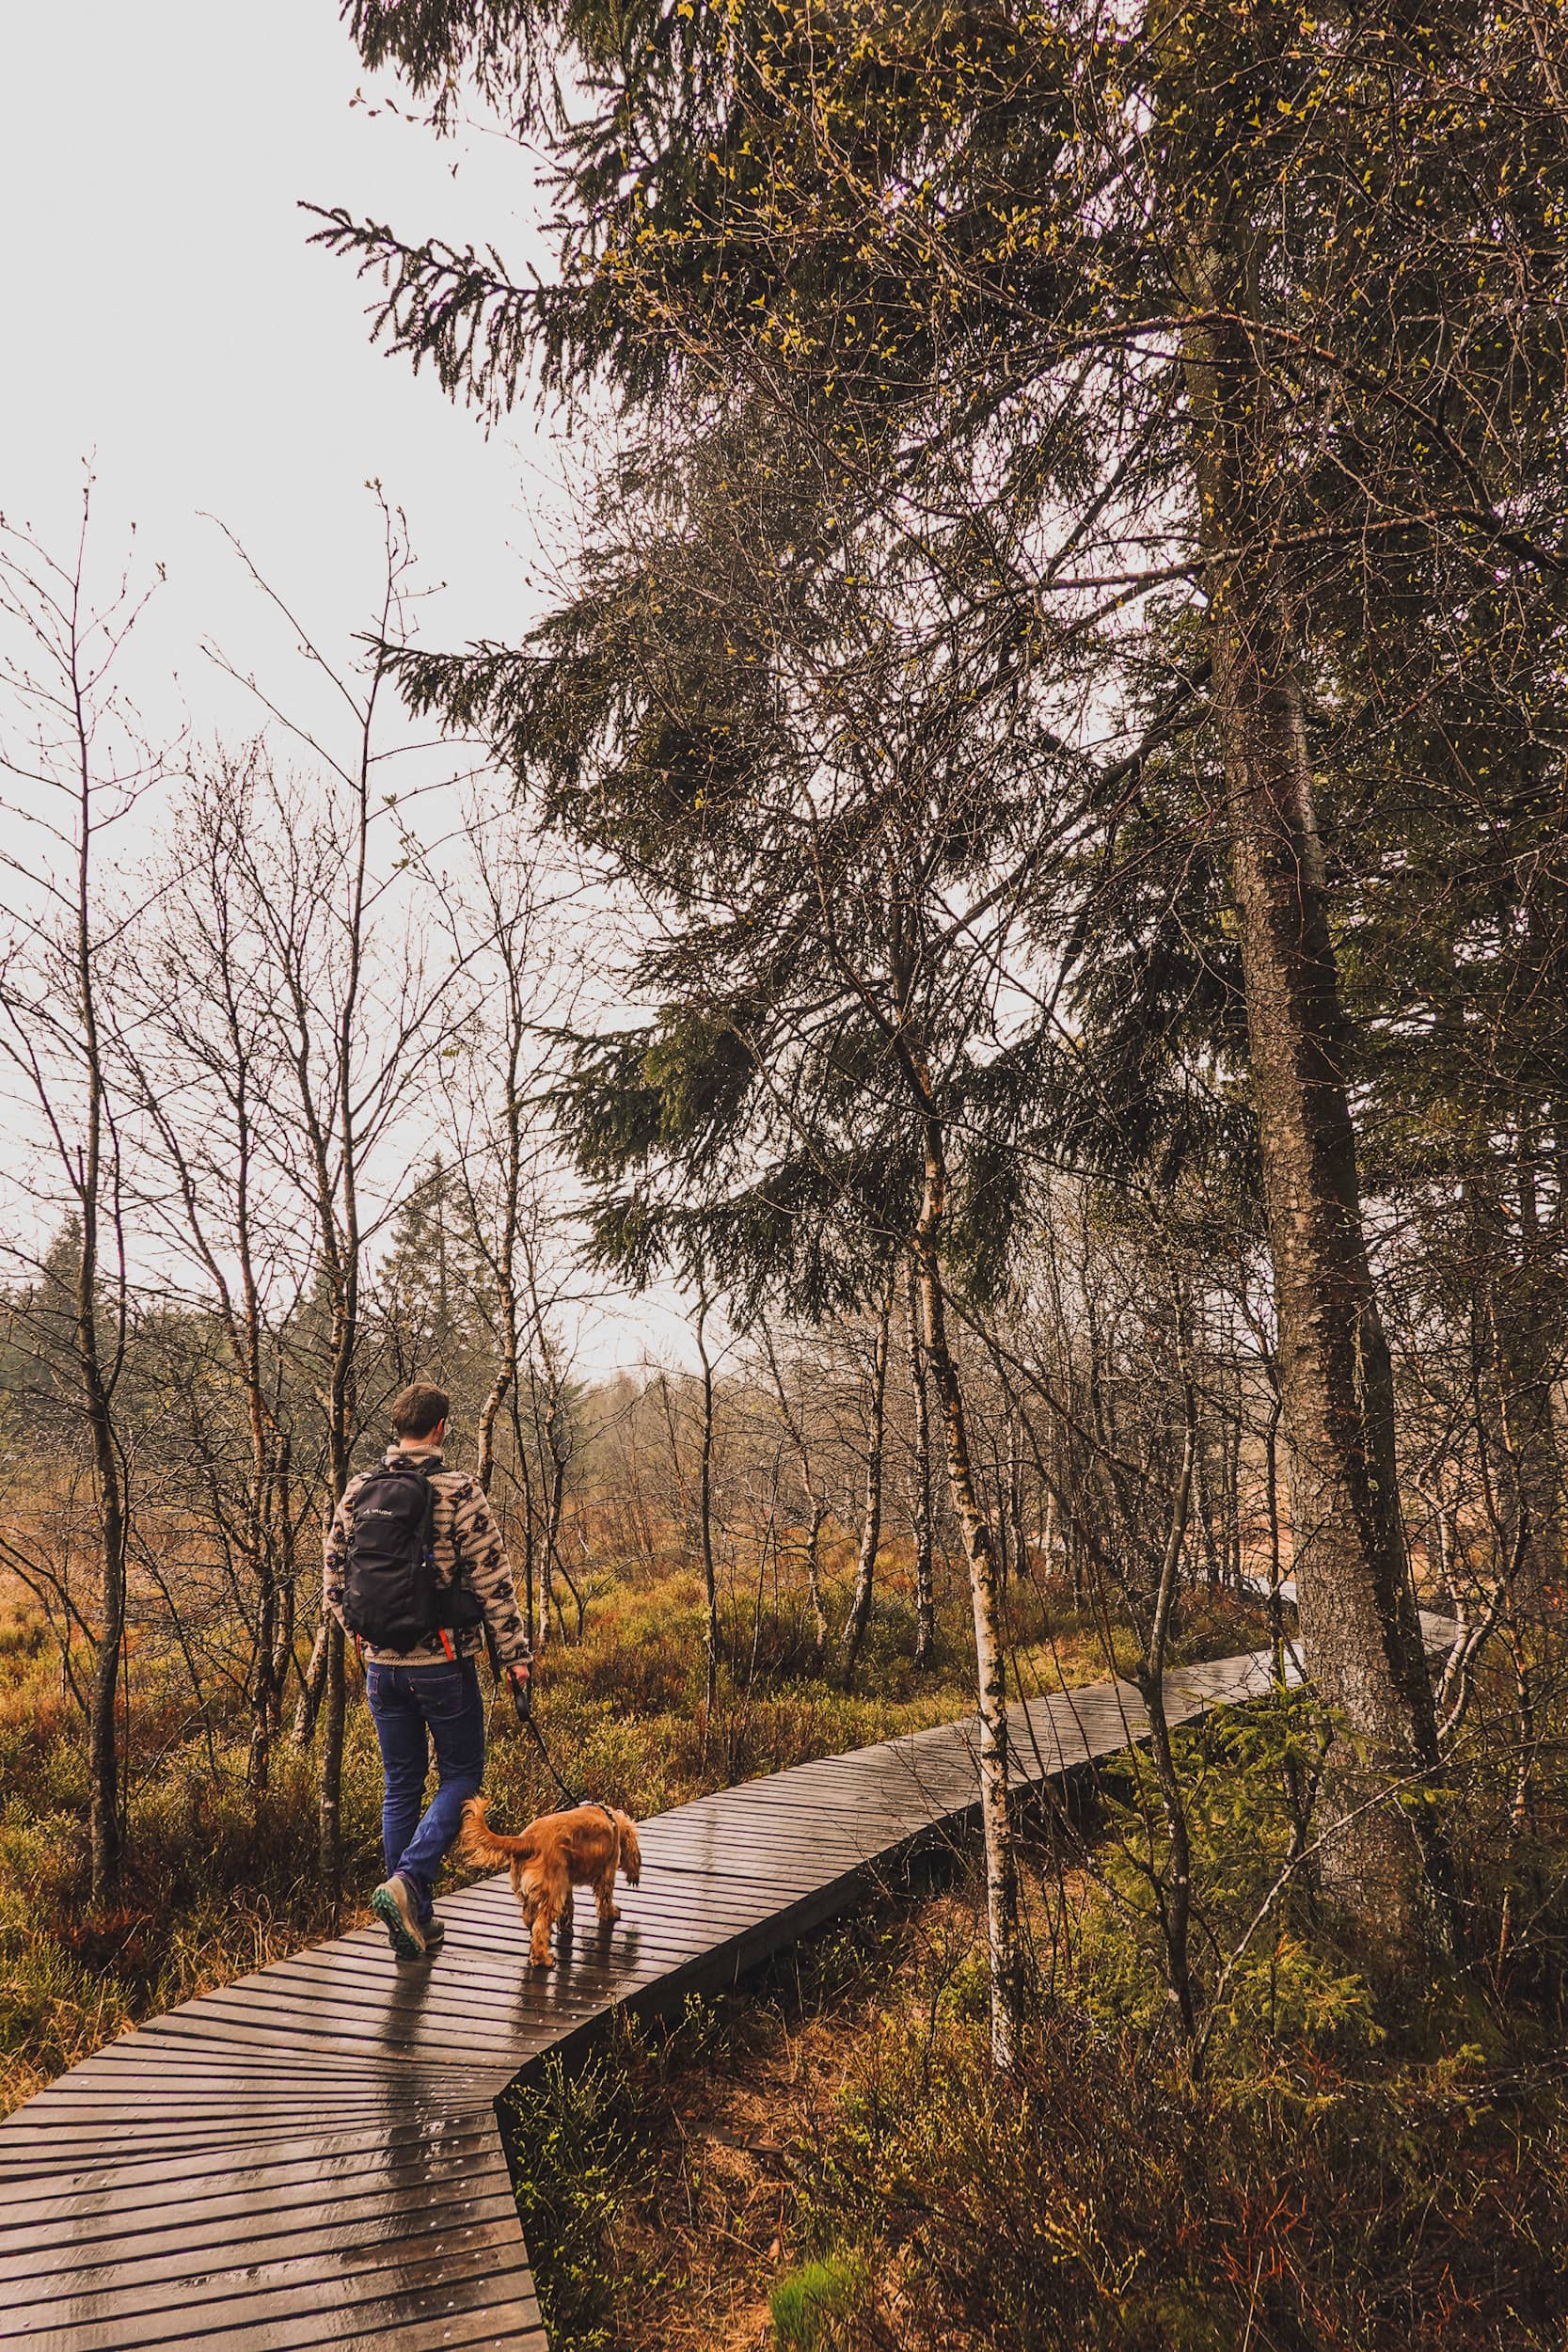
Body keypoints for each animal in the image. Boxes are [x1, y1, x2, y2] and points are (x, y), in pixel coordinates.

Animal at [460, 1797, 643, 1966]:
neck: (611, 1819)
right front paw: (611, 1913)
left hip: (538, 1890)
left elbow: (568, 1906)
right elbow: (605, 1898)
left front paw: (566, 1927)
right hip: (553, 1891)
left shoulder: (565, 1882)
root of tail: (528, 1840)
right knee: (540, 1926)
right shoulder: (607, 1873)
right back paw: (544, 1959)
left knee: (530, 1920)